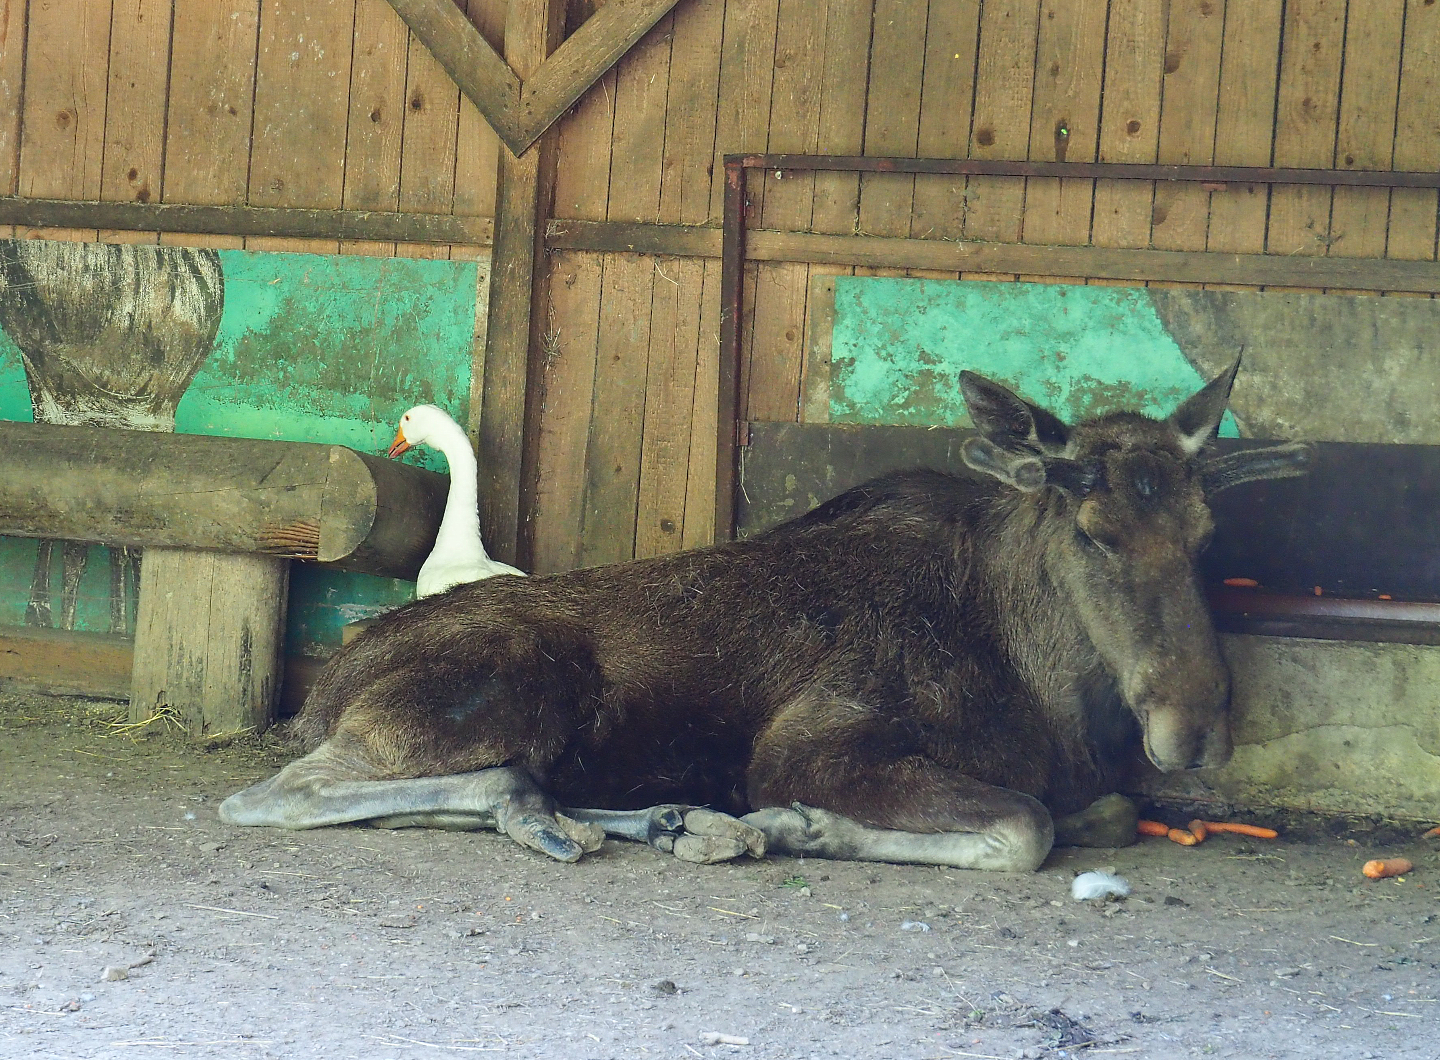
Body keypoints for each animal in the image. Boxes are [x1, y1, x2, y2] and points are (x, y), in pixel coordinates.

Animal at [221, 360, 1309, 872]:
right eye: (1094, 532)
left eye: (1207, 533)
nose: (1197, 726)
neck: (1042, 676)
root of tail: (327, 688)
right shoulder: (809, 741)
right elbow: (1024, 828)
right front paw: (798, 824)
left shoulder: (1090, 783)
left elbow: (1104, 812)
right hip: (507, 693)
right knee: (270, 795)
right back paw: (546, 812)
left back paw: (644, 817)